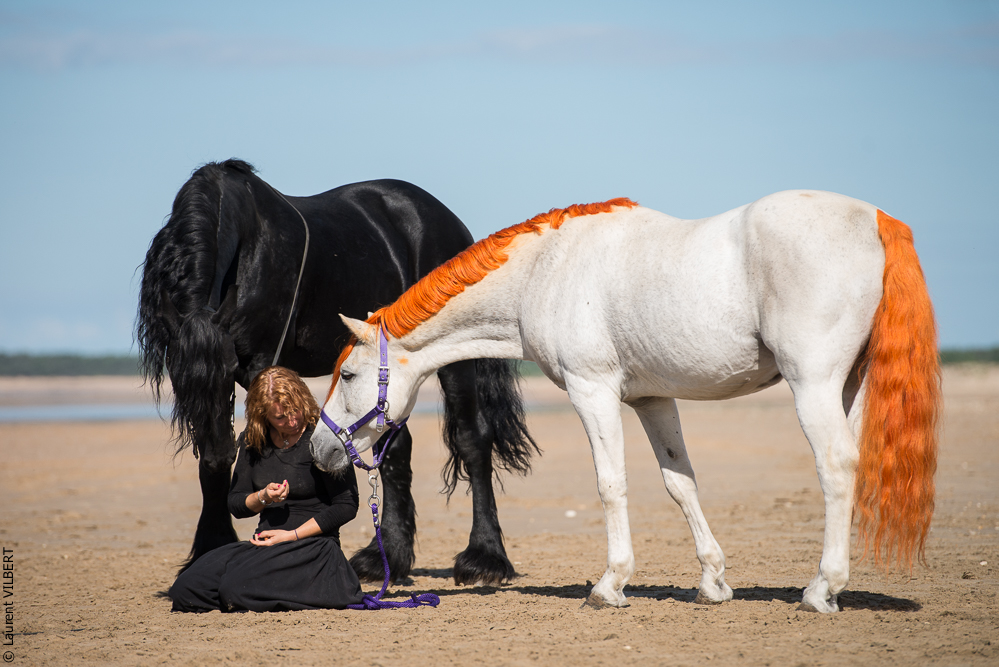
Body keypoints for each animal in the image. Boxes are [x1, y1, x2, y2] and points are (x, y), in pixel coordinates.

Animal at [137, 159, 537, 584]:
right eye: (177, 376)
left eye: (227, 365)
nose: (218, 451)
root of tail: (449, 222)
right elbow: (213, 464)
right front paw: (209, 550)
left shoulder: (259, 362)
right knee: (394, 449)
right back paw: (387, 558)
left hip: (455, 355)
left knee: (472, 438)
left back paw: (485, 557)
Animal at [311, 190, 940, 613]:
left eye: (349, 374)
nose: (320, 448)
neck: (547, 270)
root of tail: (876, 220)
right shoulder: (652, 398)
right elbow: (680, 482)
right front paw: (713, 583)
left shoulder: (593, 390)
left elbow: (611, 484)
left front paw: (609, 585)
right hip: (849, 386)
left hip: (812, 383)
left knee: (836, 467)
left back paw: (821, 588)